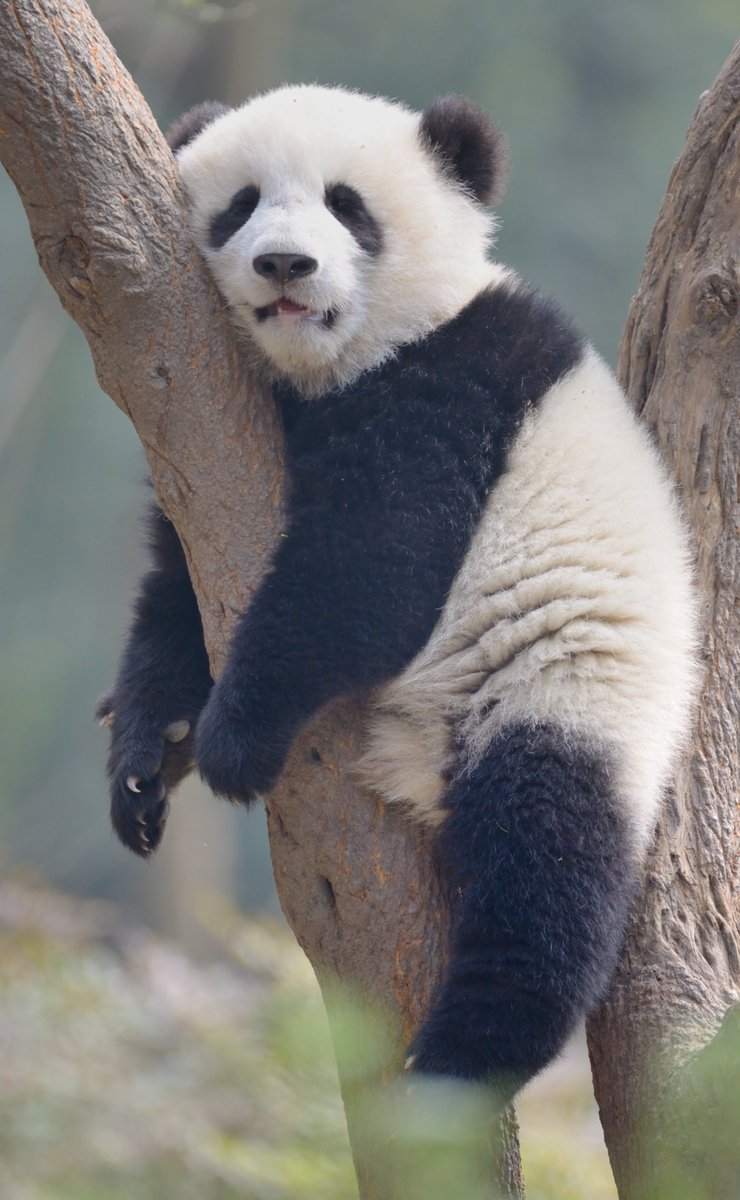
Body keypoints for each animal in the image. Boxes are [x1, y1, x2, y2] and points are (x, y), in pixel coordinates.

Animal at [100, 84, 697, 1097]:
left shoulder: (456, 382)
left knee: (549, 857)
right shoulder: (201, 439)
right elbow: (178, 591)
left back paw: (462, 1063)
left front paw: (233, 738)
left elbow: (371, 569)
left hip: (569, 692)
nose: (285, 262)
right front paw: (147, 759)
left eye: (348, 206)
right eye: (242, 205)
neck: (330, 369)